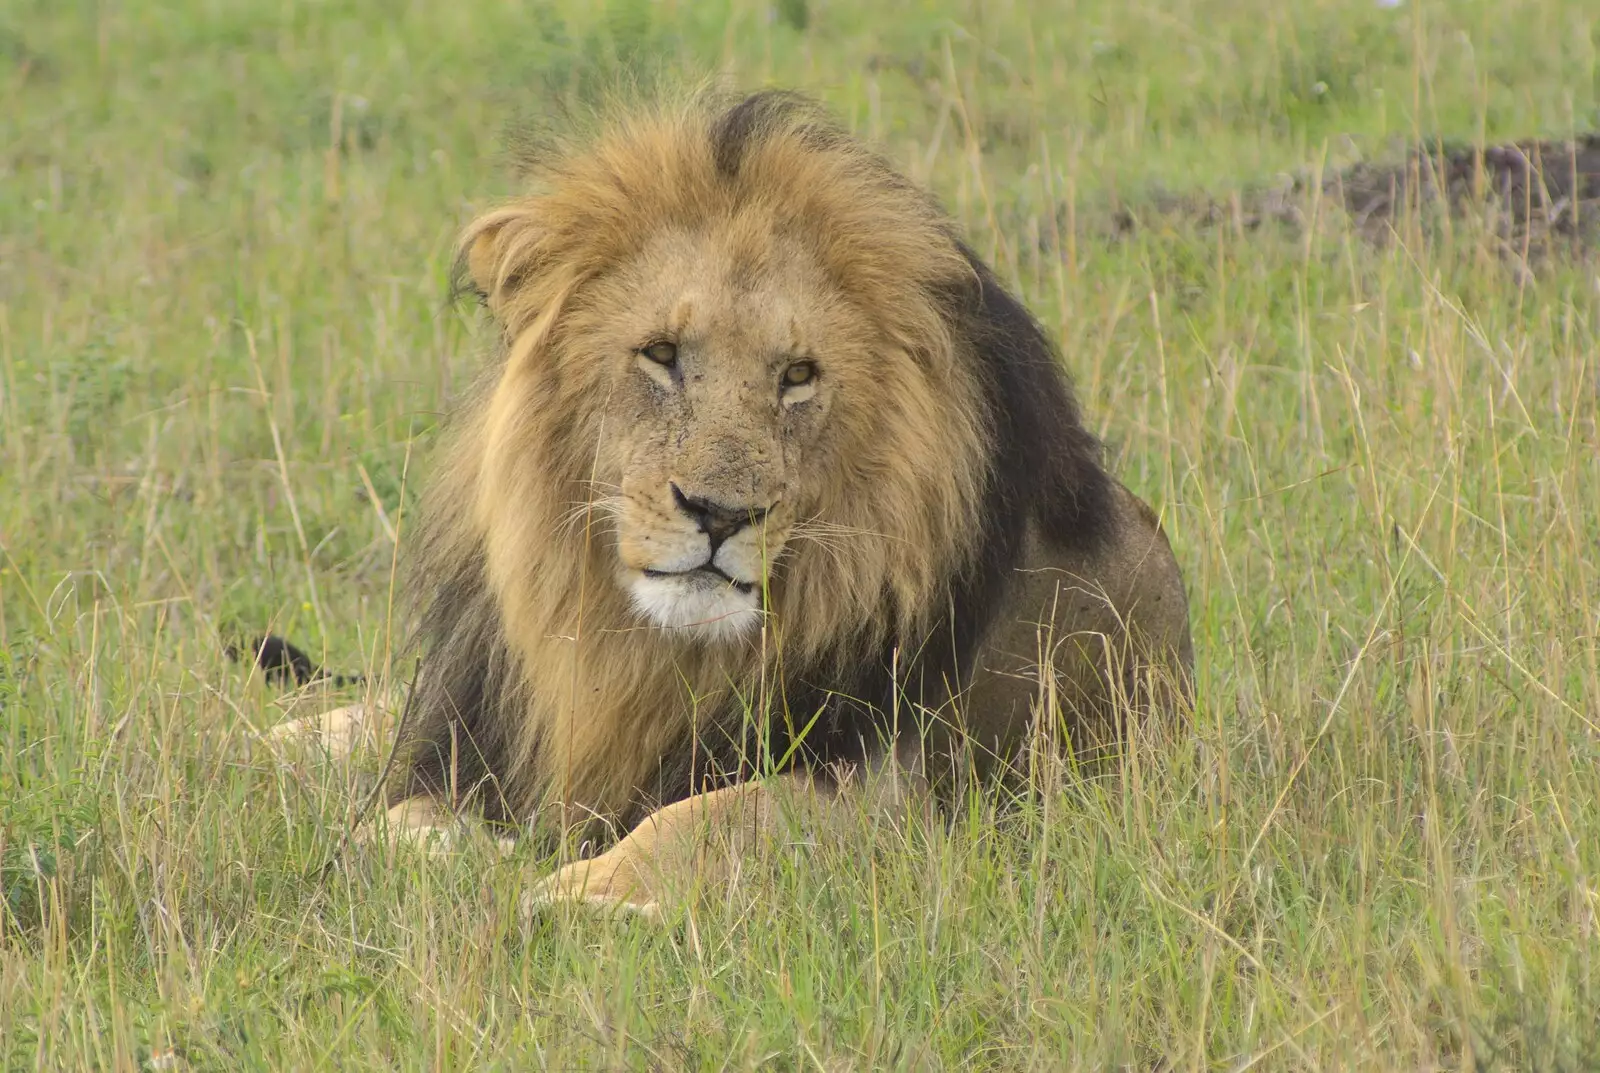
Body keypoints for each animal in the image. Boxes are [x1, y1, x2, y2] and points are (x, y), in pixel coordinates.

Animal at [312, 92, 1196, 914]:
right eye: (661, 354)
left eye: (798, 375)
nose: (721, 514)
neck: (641, 657)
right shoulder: (467, 736)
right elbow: (385, 824)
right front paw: (468, 851)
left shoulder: (913, 801)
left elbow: (719, 814)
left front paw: (579, 890)